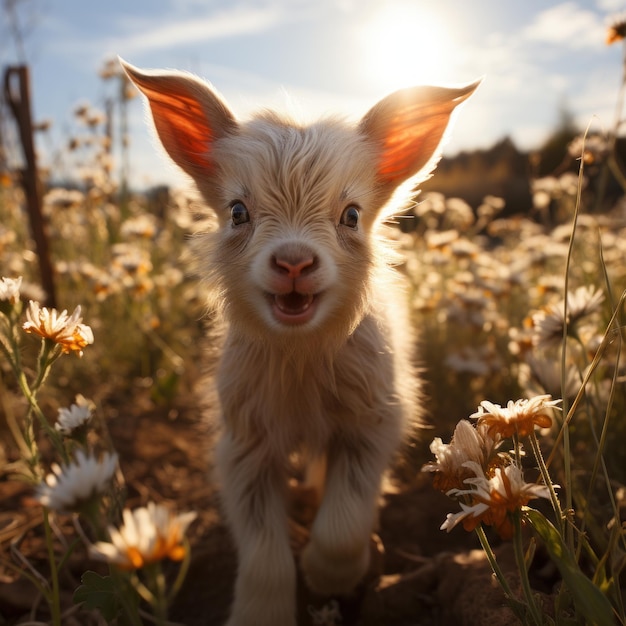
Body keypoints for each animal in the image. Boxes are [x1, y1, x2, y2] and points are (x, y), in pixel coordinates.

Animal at [122, 59, 478, 624]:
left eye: (351, 214)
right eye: (237, 212)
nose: (293, 262)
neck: (300, 354)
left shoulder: (374, 422)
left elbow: (343, 520)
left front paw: (329, 577)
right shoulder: (243, 444)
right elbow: (263, 549)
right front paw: (260, 614)